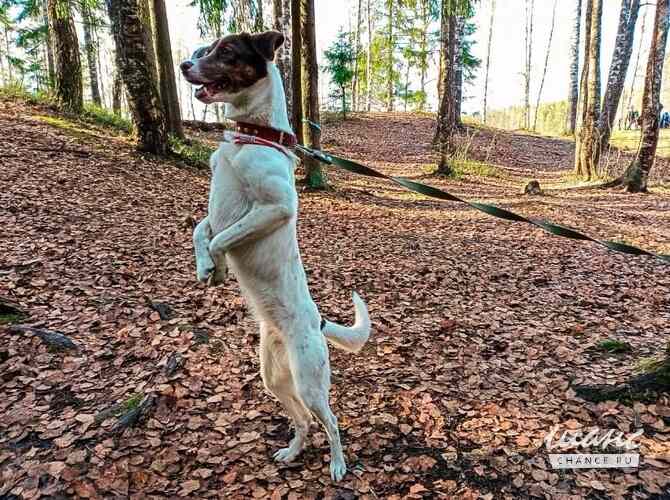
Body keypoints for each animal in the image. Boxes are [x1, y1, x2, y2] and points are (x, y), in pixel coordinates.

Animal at [181, 30, 372, 480]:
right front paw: (203, 266)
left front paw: (217, 268)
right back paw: (292, 452)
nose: (183, 65)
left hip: (310, 381)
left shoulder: (275, 208)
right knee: (303, 421)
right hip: (273, 378)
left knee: (331, 422)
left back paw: (338, 464)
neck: (251, 135)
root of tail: (319, 323)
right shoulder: (218, 212)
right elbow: (202, 230)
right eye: (203, 50)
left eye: (226, 51)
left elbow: (221, 239)